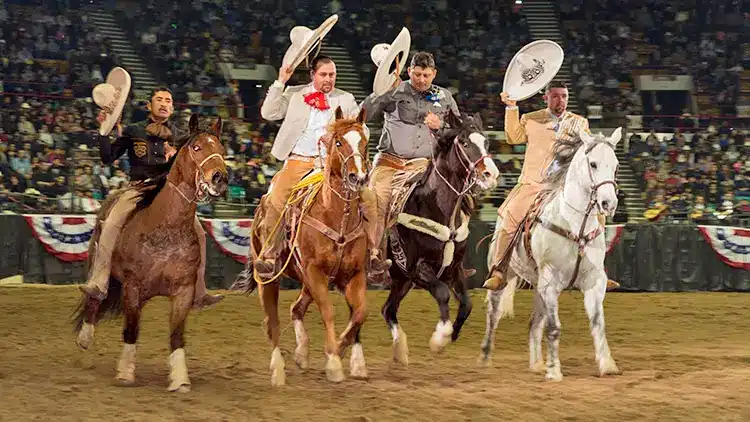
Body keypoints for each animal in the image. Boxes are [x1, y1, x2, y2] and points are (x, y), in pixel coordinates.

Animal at [72, 114, 228, 392]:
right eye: (197, 147)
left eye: (221, 150)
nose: (219, 178)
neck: (165, 228)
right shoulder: (132, 287)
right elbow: (131, 329)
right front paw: (125, 373)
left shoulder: (183, 291)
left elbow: (176, 336)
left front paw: (180, 379)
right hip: (100, 267)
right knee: (94, 297)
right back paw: (85, 337)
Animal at [235, 106, 374, 386]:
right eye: (338, 142)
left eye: (364, 143)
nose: (358, 177)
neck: (337, 217)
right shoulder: (314, 271)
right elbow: (328, 311)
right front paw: (333, 362)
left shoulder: (355, 274)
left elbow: (360, 312)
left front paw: (343, 351)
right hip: (269, 278)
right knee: (272, 322)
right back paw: (278, 370)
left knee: (295, 309)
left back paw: (301, 354)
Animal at [384, 110, 502, 364]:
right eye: (465, 143)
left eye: (487, 142)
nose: (491, 175)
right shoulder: (417, 269)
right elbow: (442, 293)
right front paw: (440, 337)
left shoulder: (454, 268)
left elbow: (466, 304)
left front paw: (453, 333)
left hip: (401, 282)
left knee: (388, 310)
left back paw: (400, 350)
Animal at [478, 127, 624, 380]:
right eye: (593, 164)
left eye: (615, 165)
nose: (608, 203)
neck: (575, 226)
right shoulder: (551, 283)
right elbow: (554, 328)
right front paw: (554, 370)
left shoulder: (593, 282)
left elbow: (597, 324)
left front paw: (607, 364)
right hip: (506, 276)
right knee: (493, 315)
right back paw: (486, 357)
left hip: (539, 286)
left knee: (534, 323)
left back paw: (537, 363)